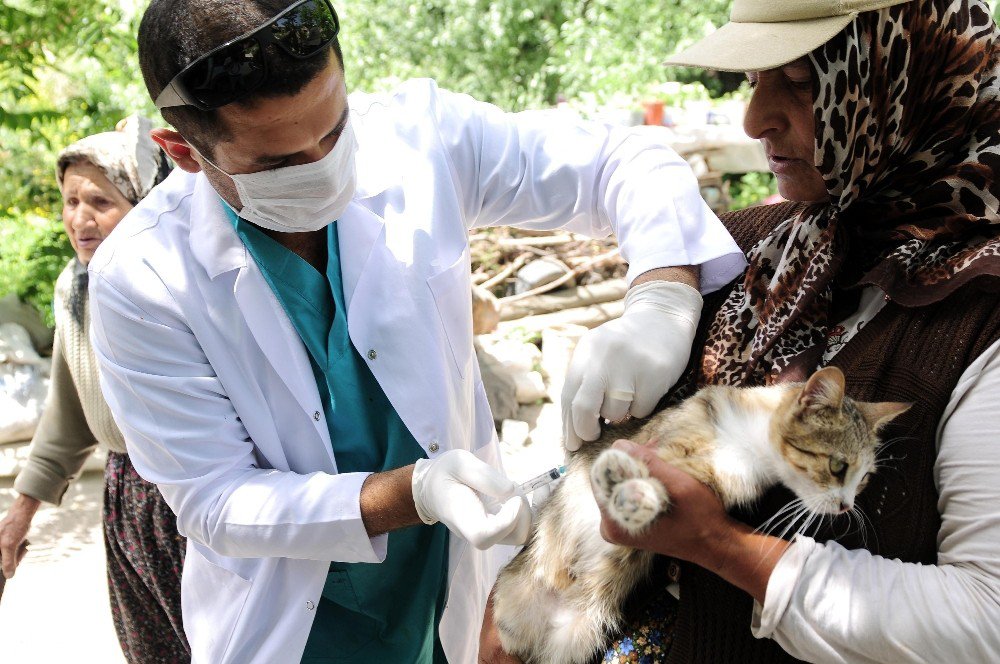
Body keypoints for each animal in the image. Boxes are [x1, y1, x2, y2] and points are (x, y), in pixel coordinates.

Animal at [488, 366, 912, 664]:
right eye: (839, 467)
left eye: (865, 478)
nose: (846, 506)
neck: (749, 443)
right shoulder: (666, 434)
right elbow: (655, 452)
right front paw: (619, 475)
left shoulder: (718, 481)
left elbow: (672, 480)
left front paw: (638, 495)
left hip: (577, 634)